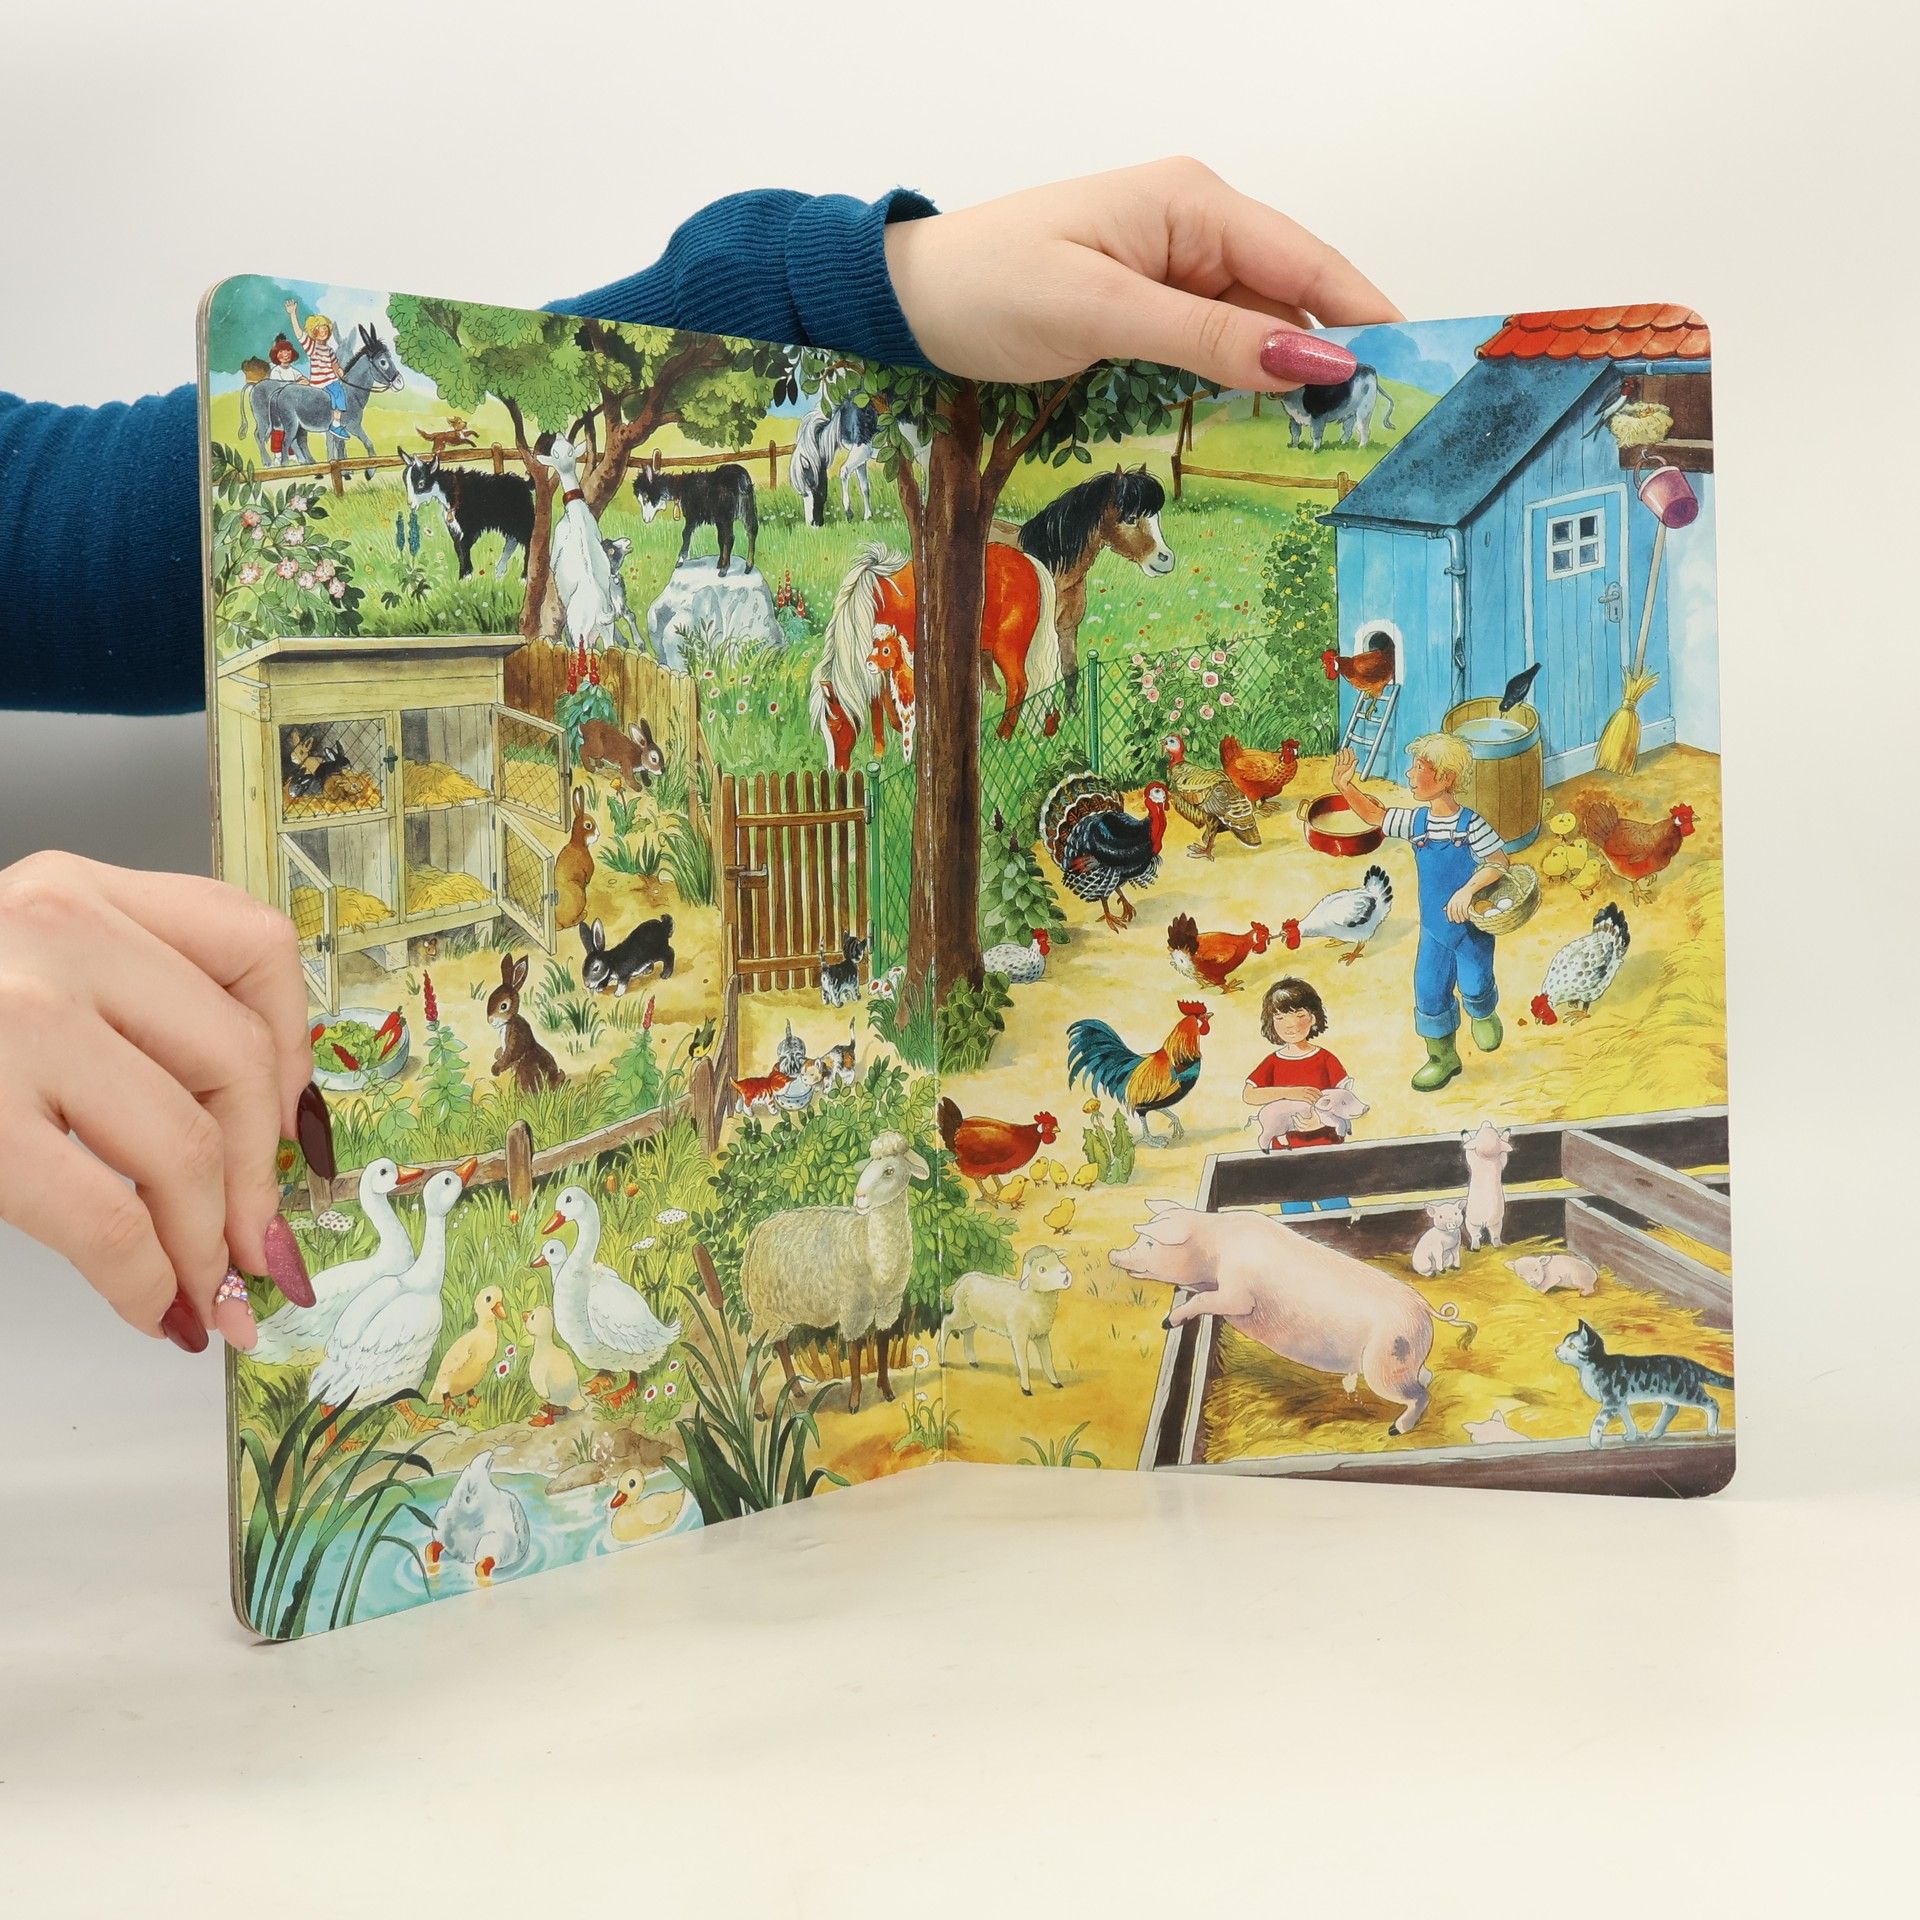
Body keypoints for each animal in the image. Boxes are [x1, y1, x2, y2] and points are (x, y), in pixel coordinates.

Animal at [487, 953, 563, 1093]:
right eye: (490, 998)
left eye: (503, 1006)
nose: (490, 1020)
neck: (508, 1022)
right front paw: (497, 1053)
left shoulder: (516, 1035)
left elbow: (511, 1054)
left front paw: (495, 1069)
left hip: (526, 1071)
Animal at [555, 785, 597, 930]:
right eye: (588, 825)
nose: (598, 834)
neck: (578, 845)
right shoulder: (587, 865)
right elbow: (588, 873)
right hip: (580, 894)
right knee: (571, 923)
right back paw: (583, 915)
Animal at [1555, 1320, 1734, 1448]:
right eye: (1564, 1342)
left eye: (1571, 1346)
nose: (1556, 1349)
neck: (1594, 1366)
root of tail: (1690, 1364)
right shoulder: (1620, 1402)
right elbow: (1628, 1419)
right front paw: (1632, 1435)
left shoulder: (1611, 1401)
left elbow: (1598, 1422)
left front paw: (1594, 1442)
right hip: (1672, 1395)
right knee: (1671, 1409)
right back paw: (1655, 1433)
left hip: (1686, 1392)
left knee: (1712, 1403)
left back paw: (1712, 1430)